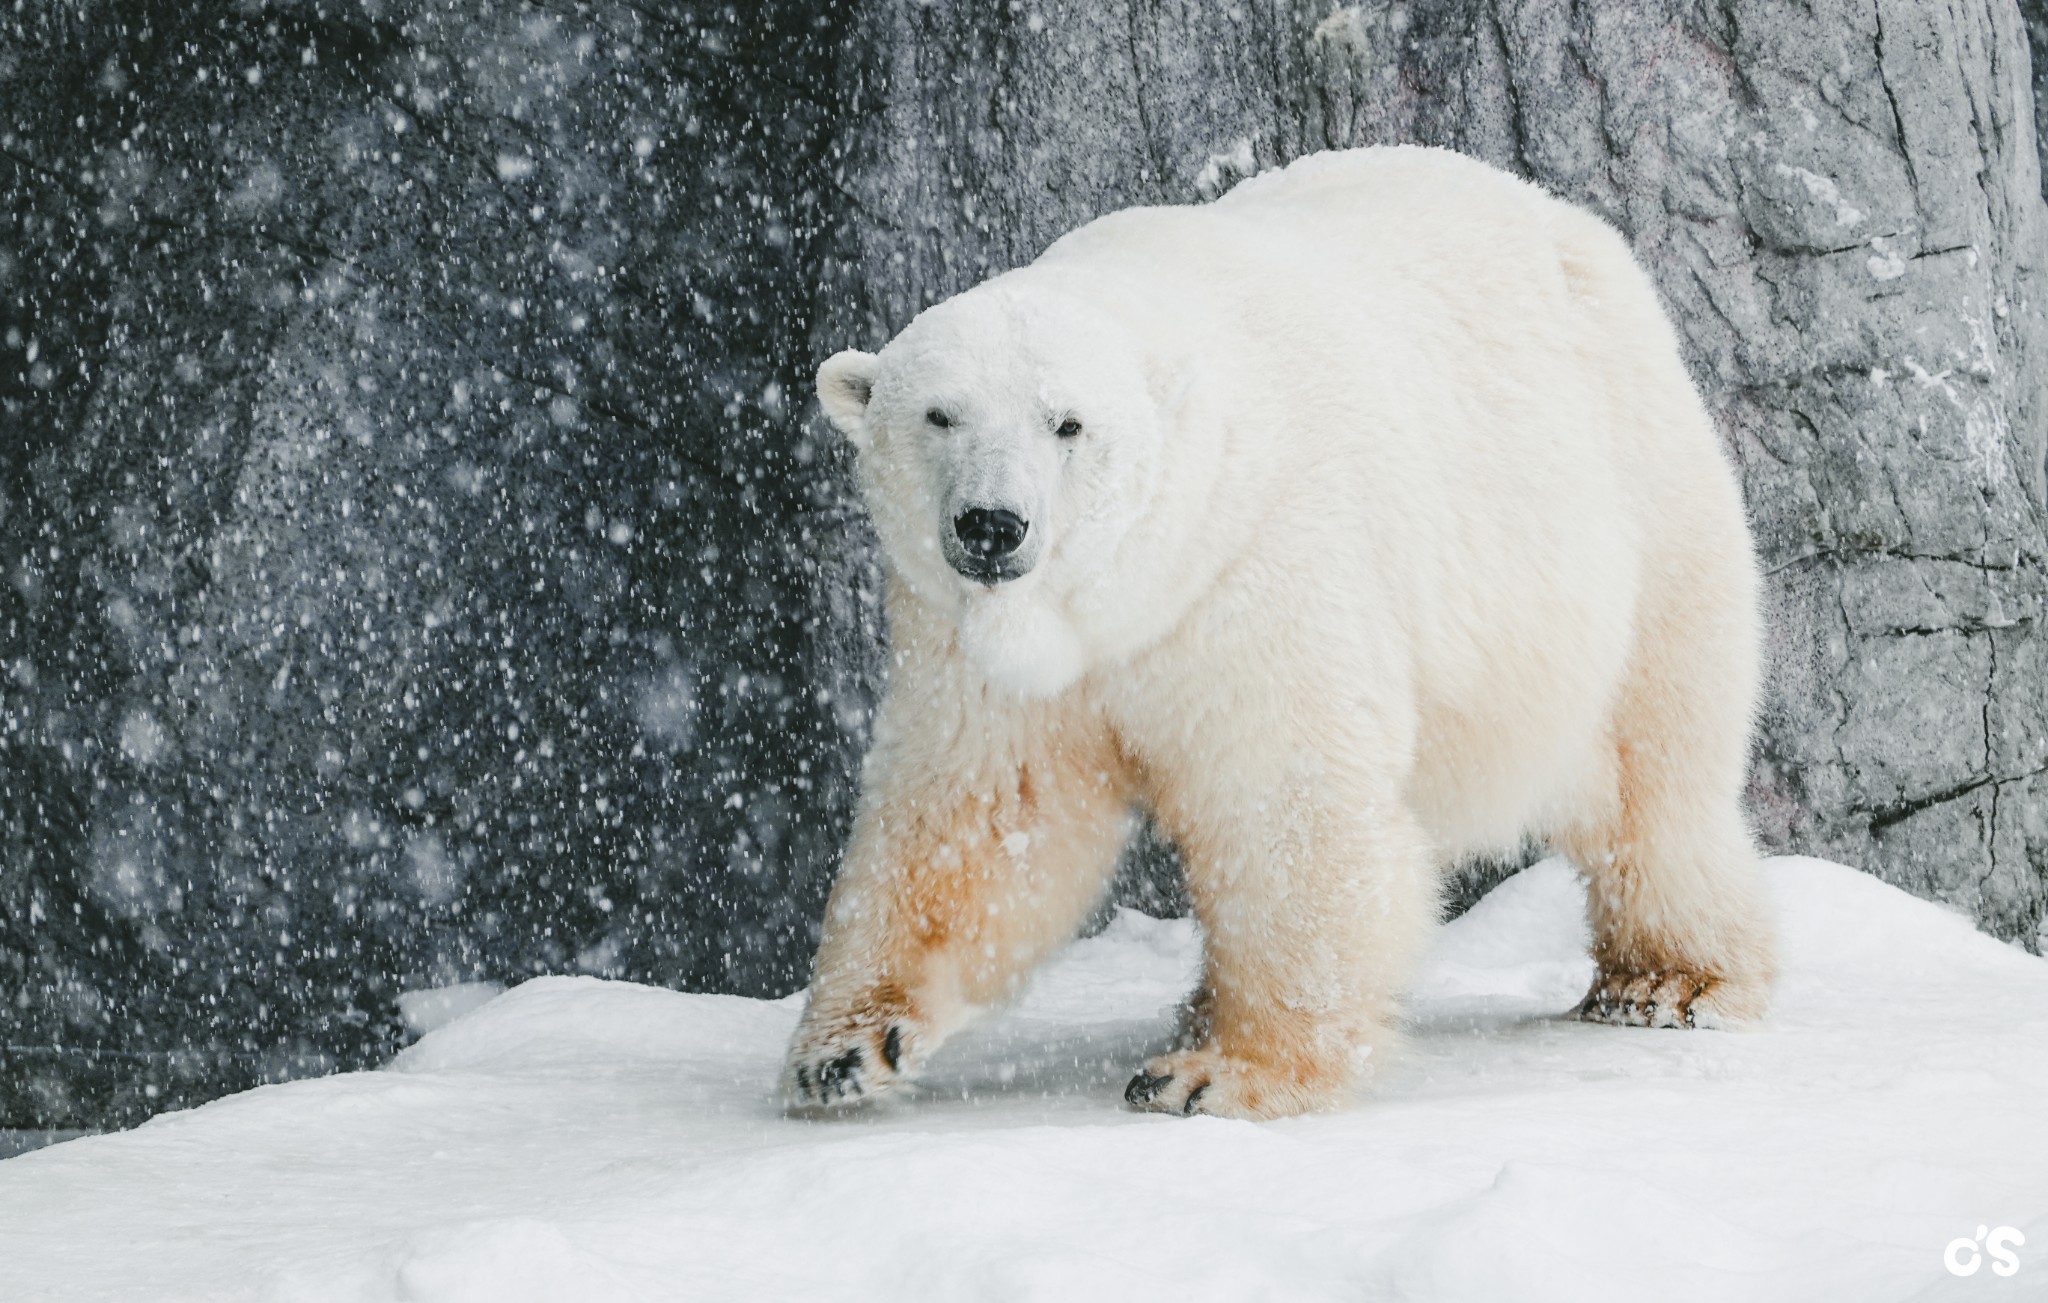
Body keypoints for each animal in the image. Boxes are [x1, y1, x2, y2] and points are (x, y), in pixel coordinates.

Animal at [782, 145, 1777, 1122]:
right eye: (938, 414)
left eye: (1068, 423)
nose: (992, 524)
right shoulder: (975, 638)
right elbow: (984, 813)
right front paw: (847, 1049)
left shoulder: (1255, 564)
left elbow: (1285, 800)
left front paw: (1221, 1073)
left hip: (1630, 524)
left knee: (1652, 773)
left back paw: (1669, 980)